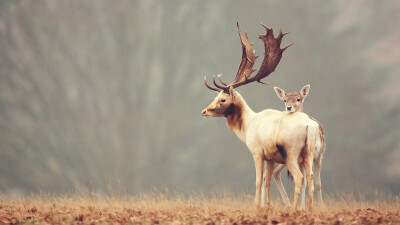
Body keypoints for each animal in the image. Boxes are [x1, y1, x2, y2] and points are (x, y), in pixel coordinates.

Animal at [202, 22, 320, 210]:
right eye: (215, 97)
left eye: (222, 99)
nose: (204, 111)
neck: (248, 126)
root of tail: (310, 126)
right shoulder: (270, 157)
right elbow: (267, 181)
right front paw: (267, 207)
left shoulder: (257, 152)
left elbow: (258, 181)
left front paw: (257, 206)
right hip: (308, 153)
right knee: (310, 177)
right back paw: (308, 210)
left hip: (291, 152)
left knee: (299, 178)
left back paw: (292, 209)